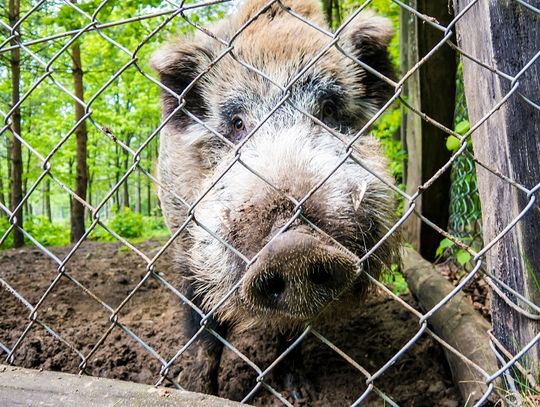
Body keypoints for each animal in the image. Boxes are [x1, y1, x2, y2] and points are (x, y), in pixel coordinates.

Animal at [150, 0, 398, 402]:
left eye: (329, 110)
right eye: (237, 122)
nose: (294, 247)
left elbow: (291, 330)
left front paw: (301, 396)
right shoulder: (185, 246)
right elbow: (204, 330)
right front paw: (200, 391)